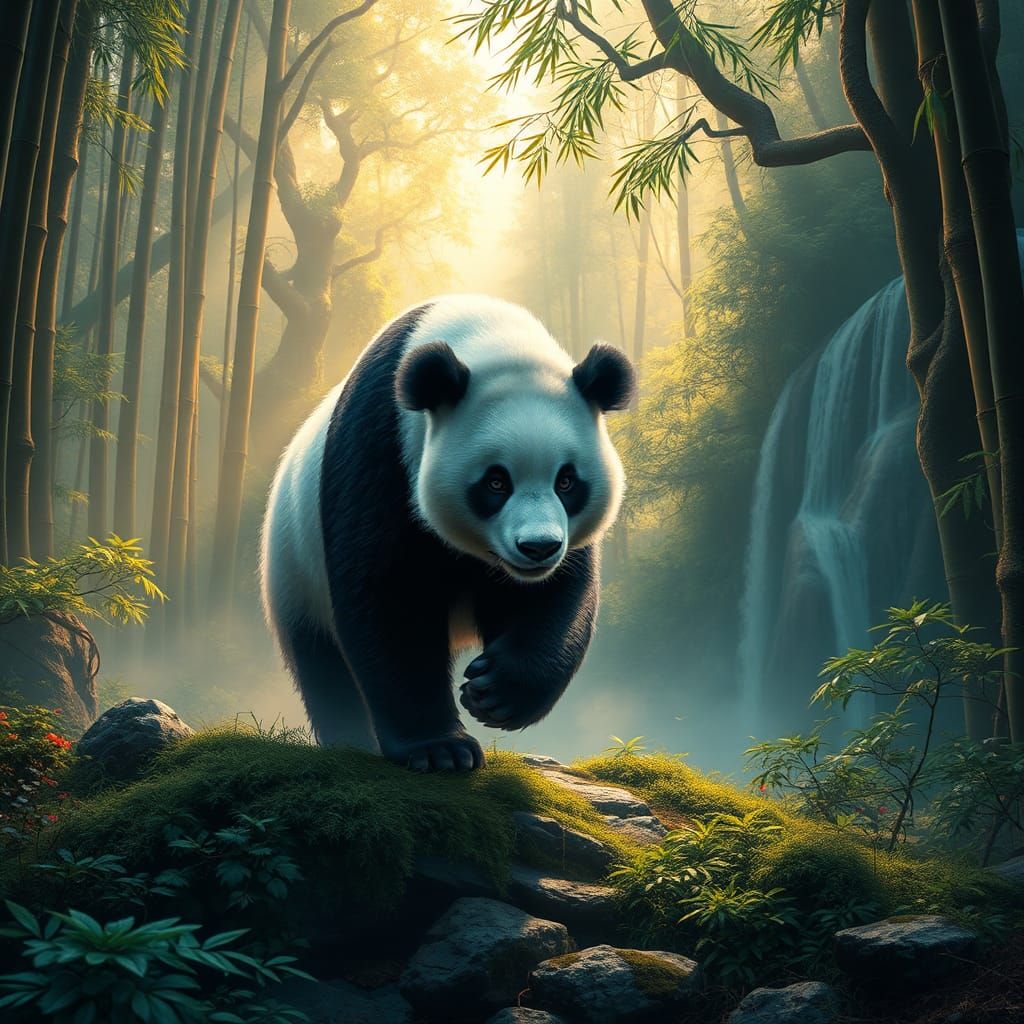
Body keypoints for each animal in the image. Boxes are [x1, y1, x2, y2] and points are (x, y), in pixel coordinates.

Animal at [260, 294, 635, 771]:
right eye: (496, 482)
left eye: (566, 481)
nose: (537, 548)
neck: (488, 335)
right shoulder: (382, 445)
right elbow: (391, 594)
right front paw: (440, 749)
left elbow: (556, 594)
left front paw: (497, 692)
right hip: (295, 573)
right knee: (325, 669)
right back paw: (352, 742)